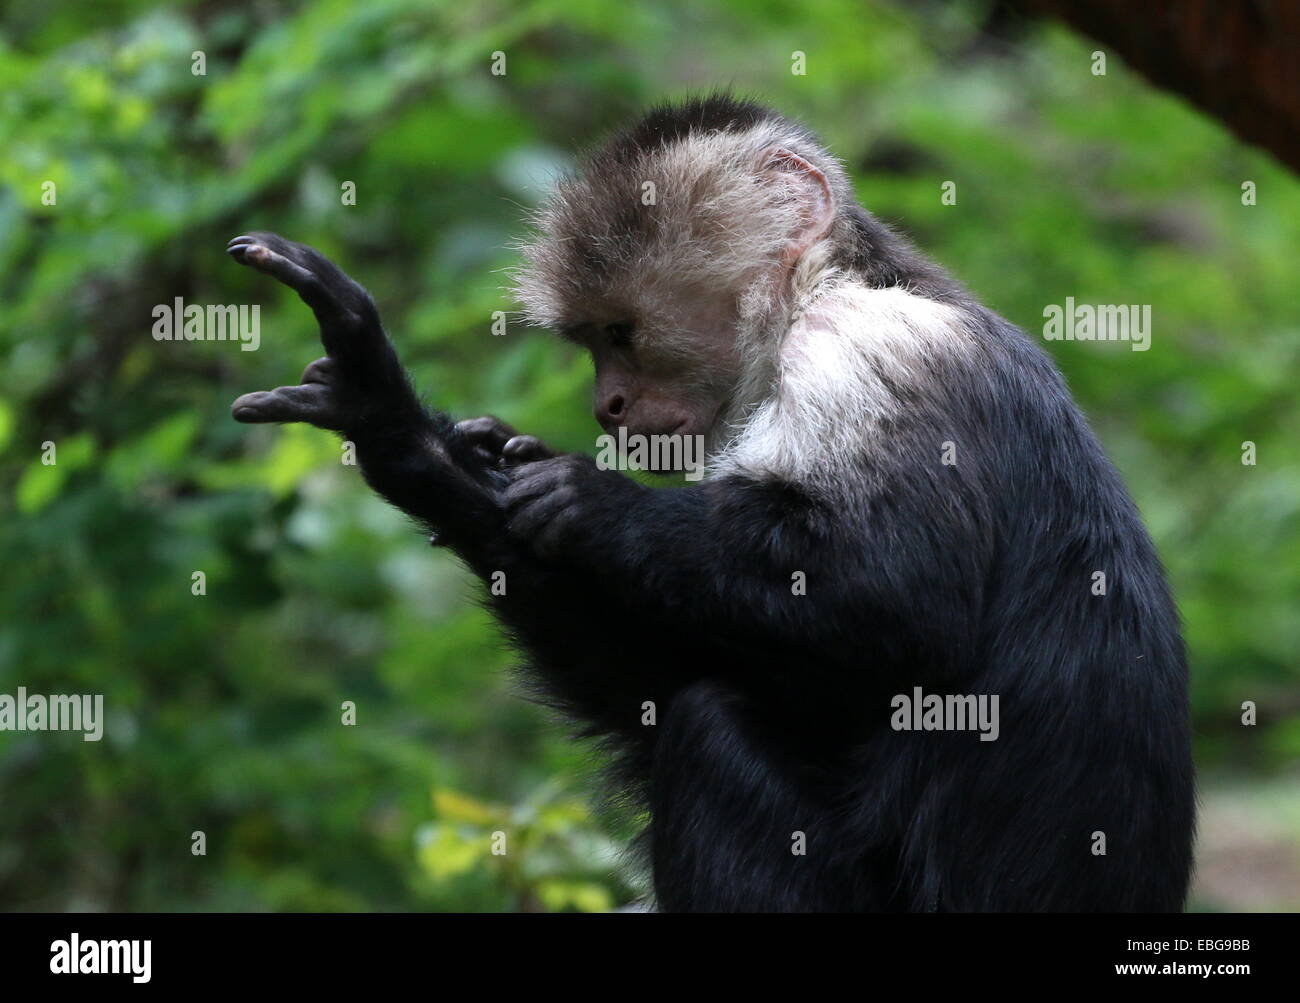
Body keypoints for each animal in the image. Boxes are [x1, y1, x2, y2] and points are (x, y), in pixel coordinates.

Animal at [228, 96, 1190, 914]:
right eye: (591, 343)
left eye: (623, 333)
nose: (606, 407)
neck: (839, 284)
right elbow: (649, 689)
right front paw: (414, 444)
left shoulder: (865, 349)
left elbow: (900, 600)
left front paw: (589, 501)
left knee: (711, 729)